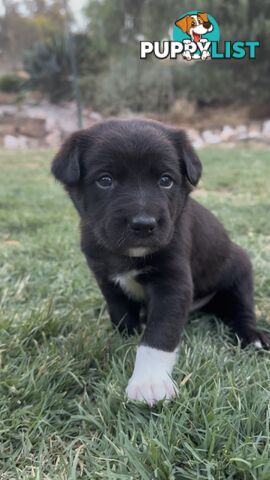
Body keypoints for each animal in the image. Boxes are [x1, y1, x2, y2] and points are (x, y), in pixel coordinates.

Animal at [51, 119, 270, 404]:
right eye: (105, 180)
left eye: (166, 180)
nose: (144, 224)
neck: (129, 255)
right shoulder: (106, 278)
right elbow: (120, 312)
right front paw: (126, 335)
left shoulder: (172, 283)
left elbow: (159, 335)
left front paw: (149, 381)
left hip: (239, 268)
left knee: (242, 310)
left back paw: (253, 336)